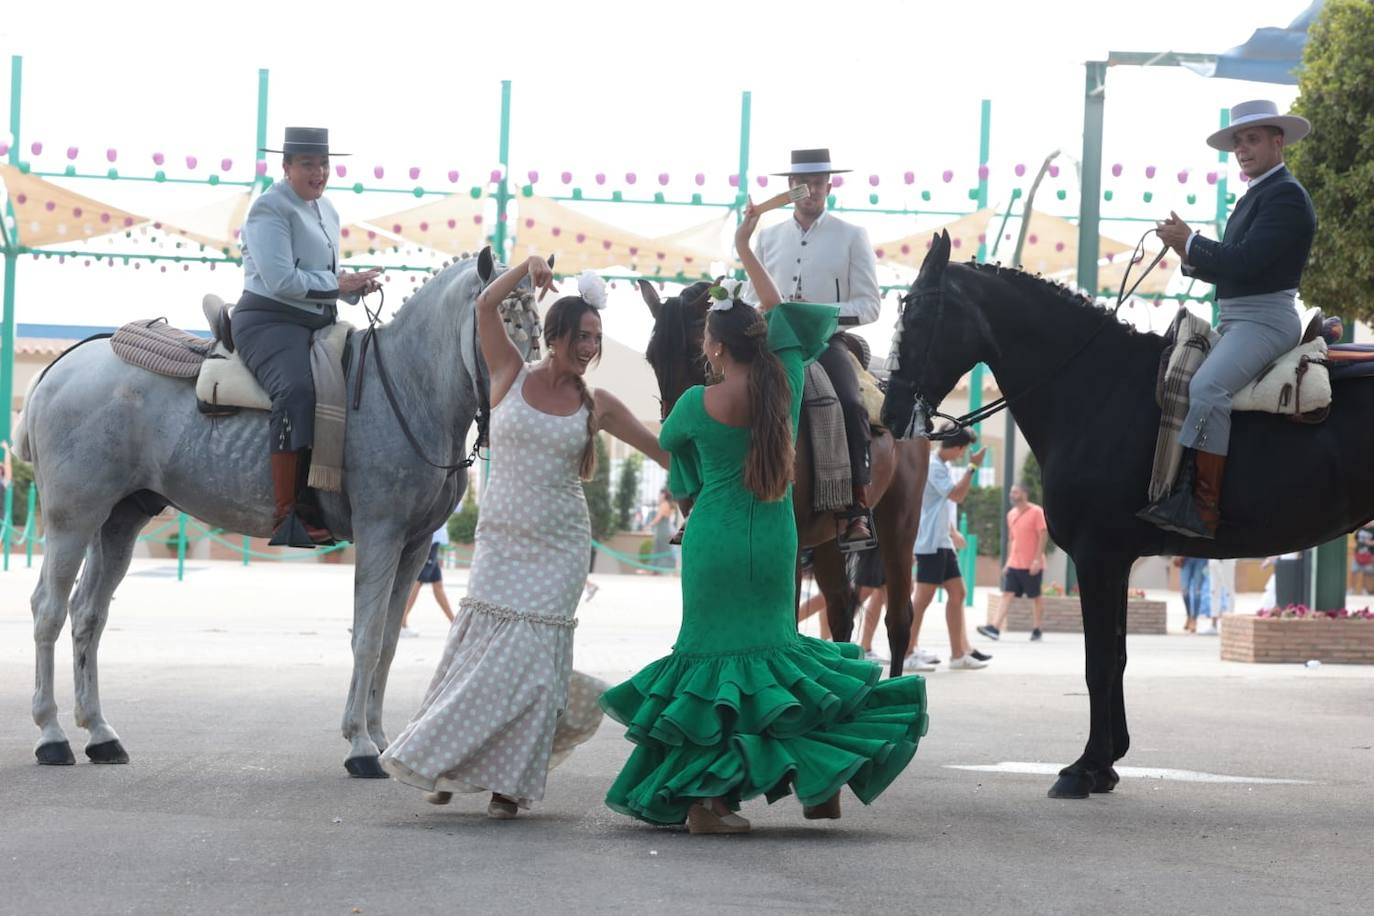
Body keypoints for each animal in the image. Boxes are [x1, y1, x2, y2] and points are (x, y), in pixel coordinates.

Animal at [17, 252, 541, 780]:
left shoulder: (413, 546)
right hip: (73, 519)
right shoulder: (380, 534)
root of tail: (63, 367)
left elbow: (390, 642)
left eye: (535, 328)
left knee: (88, 613)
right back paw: (51, 734)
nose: (525, 389)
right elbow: (367, 638)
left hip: (118, 521)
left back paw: (100, 733)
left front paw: (379, 738)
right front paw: (360, 745)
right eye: (499, 320)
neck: (406, 386)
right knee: (49, 610)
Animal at [879, 230, 1374, 802]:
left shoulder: (1098, 558)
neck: (1099, 387)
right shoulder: (1115, 562)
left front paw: (1084, 767)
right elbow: (1115, 658)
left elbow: (1096, 663)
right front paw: (1108, 762)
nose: (889, 414)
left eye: (918, 316)